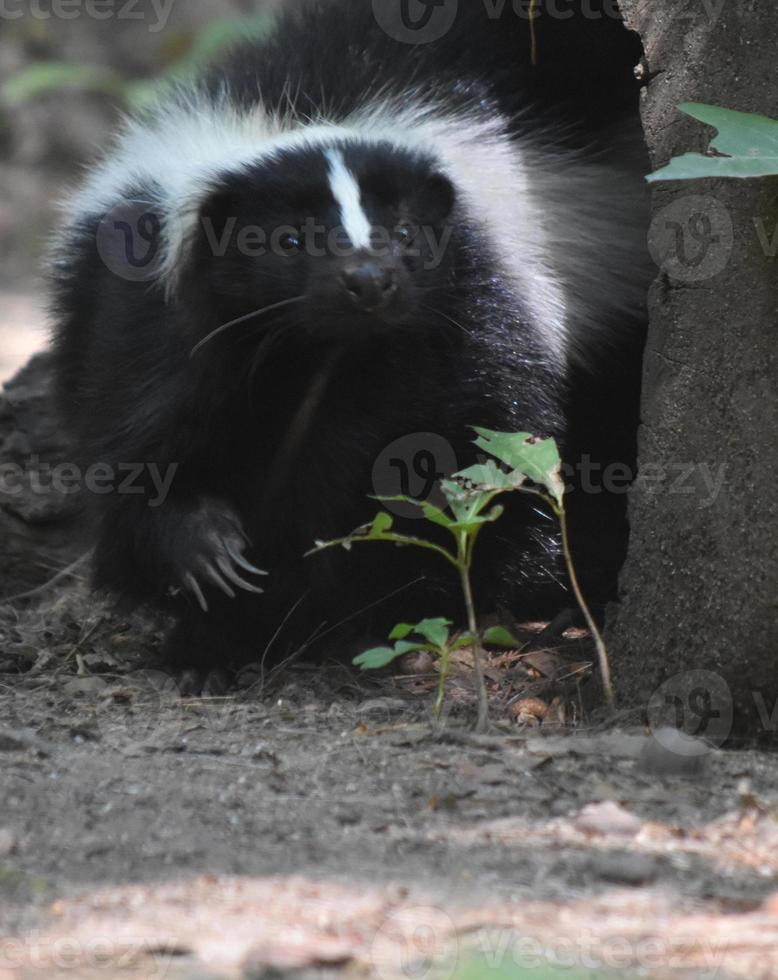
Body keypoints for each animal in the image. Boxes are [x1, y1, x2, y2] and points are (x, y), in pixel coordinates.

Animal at [50, 0, 648, 668]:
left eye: (407, 233)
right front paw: (210, 563)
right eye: (289, 240)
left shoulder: (478, 318)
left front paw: (315, 599)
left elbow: (467, 457)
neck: (315, 353)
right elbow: (136, 448)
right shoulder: (144, 313)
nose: (369, 279)